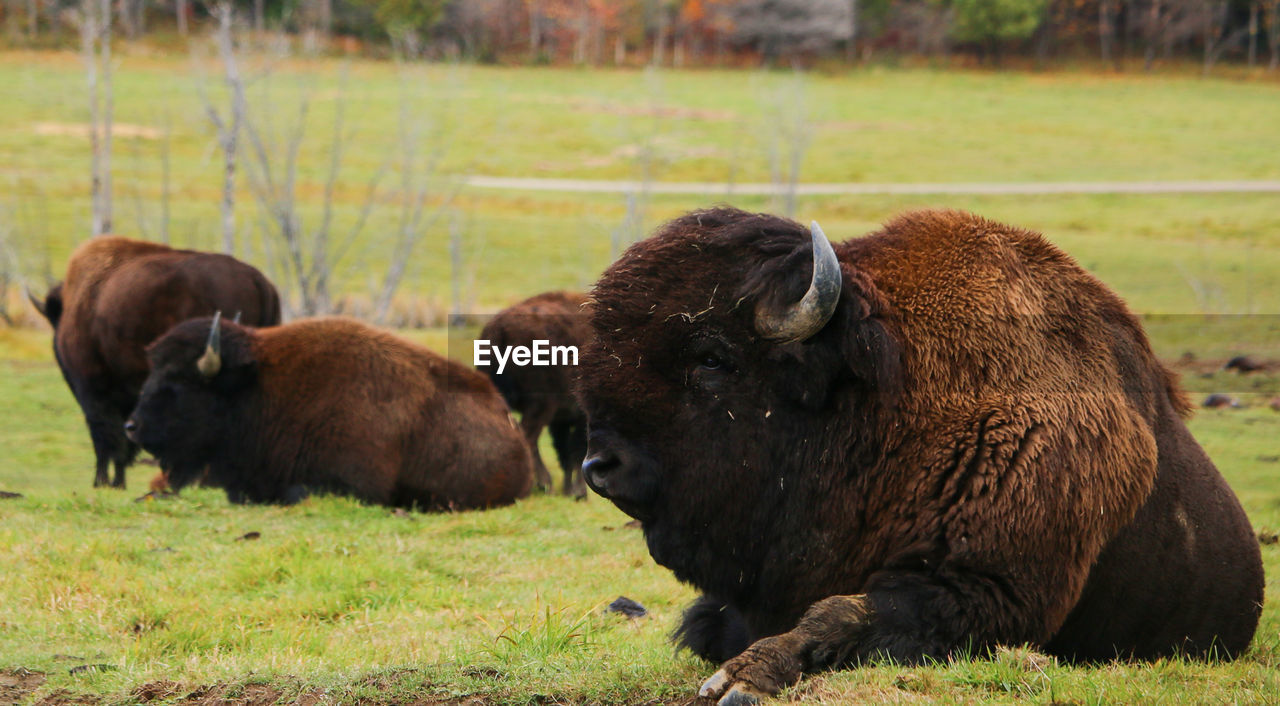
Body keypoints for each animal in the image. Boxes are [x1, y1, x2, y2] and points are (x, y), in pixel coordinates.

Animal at [478, 289, 591, 498]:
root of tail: (499, 330)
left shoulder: (562, 420)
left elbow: (565, 452)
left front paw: (569, 490)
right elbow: (577, 451)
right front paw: (579, 493)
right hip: (541, 405)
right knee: (528, 437)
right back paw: (541, 484)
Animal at [578, 207, 1259, 700]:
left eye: (714, 359)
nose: (599, 466)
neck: (885, 403)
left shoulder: (985, 591)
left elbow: (838, 613)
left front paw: (741, 679)